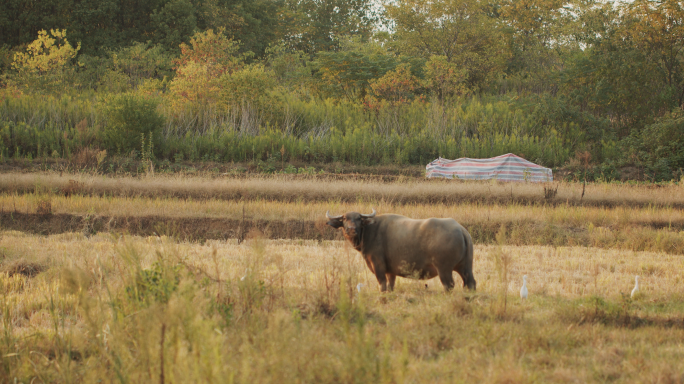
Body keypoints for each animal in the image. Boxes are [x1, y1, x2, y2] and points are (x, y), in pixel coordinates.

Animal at [326, 210, 476, 292]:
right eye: (344, 218)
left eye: (358, 218)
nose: (351, 229)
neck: (369, 231)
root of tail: (460, 229)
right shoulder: (391, 271)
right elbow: (391, 285)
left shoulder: (378, 266)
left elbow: (382, 285)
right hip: (466, 267)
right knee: (470, 283)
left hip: (444, 269)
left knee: (449, 285)